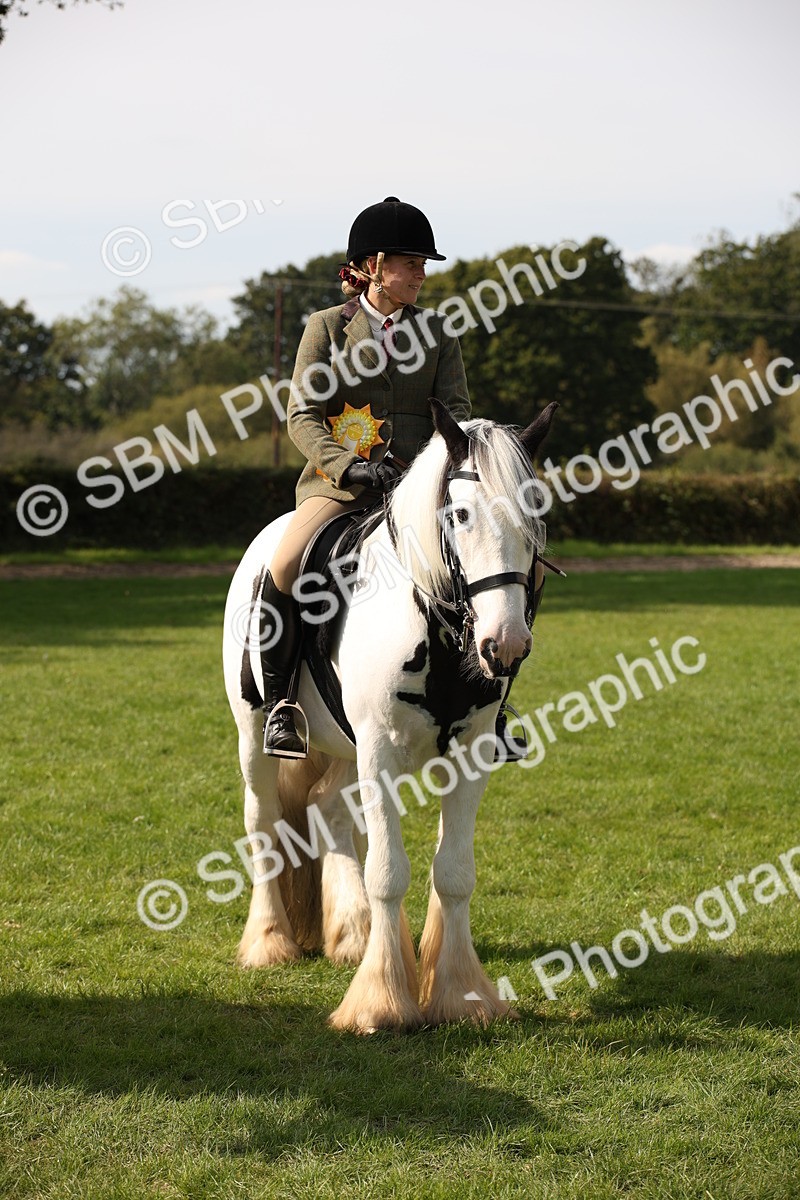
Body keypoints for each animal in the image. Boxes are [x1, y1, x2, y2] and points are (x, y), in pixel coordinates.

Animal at [221, 398, 557, 1033]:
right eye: (460, 514)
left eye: (536, 514)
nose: (506, 644)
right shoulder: (379, 749)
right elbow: (388, 871)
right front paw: (380, 1002)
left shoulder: (471, 752)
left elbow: (454, 873)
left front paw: (461, 995)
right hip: (256, 733)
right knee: (263, 820)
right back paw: (270, 941)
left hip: (344, 745)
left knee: (327, 806)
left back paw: (352, 933)